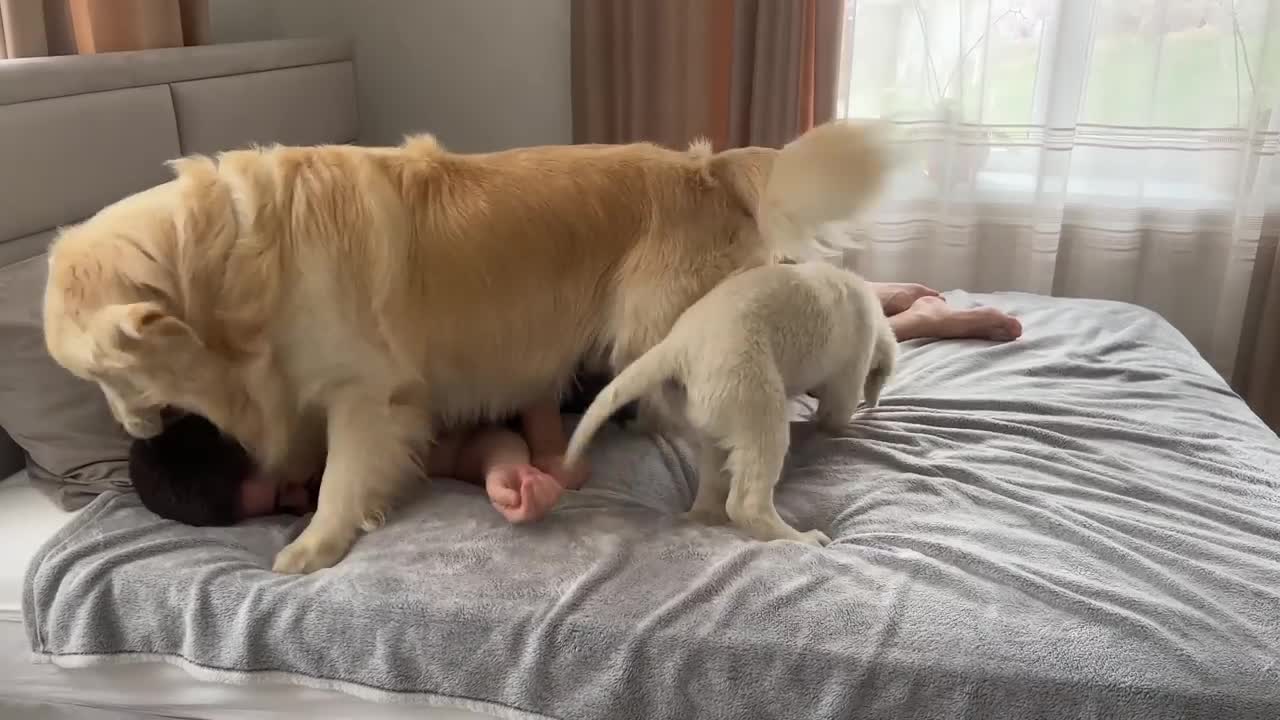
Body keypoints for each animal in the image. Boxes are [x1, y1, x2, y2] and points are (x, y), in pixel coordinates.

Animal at [565, 258, 896, 543]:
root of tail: (677, 346)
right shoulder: (852, 366)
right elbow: (839, 411)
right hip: (755, 400)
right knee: (746, 503)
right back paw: (801, 538)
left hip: (713, 420)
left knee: (713, 482)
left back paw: (705, 516)